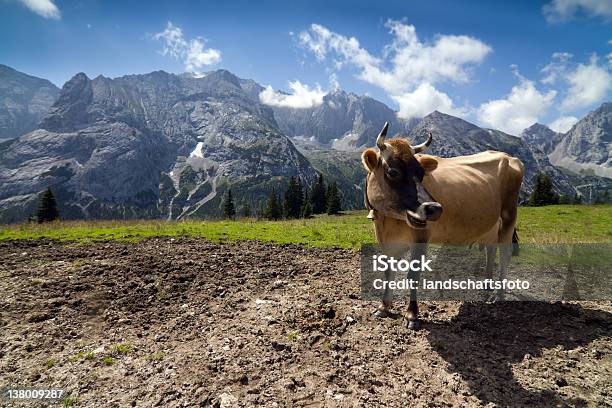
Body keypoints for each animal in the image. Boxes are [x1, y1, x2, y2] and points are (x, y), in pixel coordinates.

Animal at [360, 121, 524, 328]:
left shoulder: (421, 237)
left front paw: (412, 315)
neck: (389, 220)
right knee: (490, 248)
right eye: (392, 172)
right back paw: (486, 285)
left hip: (509, 215)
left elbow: (413, 275)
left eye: (421, 174)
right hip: (491, 223)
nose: (435, 208)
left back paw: (499, 295)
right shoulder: (384, 239)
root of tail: (509, 157)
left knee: (504, 254)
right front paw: (383, 307)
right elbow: (388, 272)